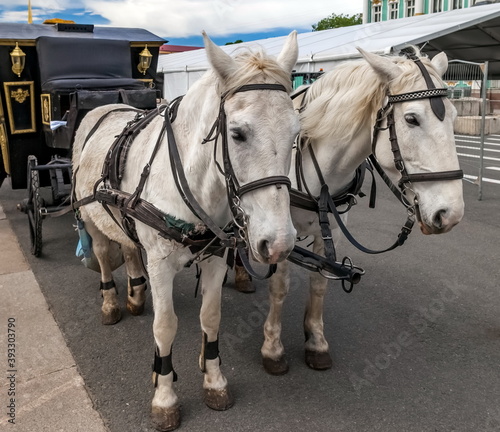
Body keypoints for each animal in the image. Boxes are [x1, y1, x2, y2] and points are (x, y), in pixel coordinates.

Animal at [73, 32, 300, 430]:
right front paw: (164, 396)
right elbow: (165, 327)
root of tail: (105, 108)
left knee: (128, 247)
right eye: (237, 134)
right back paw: (111, 302)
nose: (279, 243)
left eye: (295, 134)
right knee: (102, 255)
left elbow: (211, 317)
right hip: (91, 217)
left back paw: (135, 295)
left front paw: (214, 380)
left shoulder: (217, 256)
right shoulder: (161, 262)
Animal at [242, 48, 464, 374]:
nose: (451, 214)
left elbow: (320, 283)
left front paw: (316, 341)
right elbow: (280, 287)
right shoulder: (280, 233)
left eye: (454, 117)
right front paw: (273, 348)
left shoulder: (331, 230)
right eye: (411, 119)